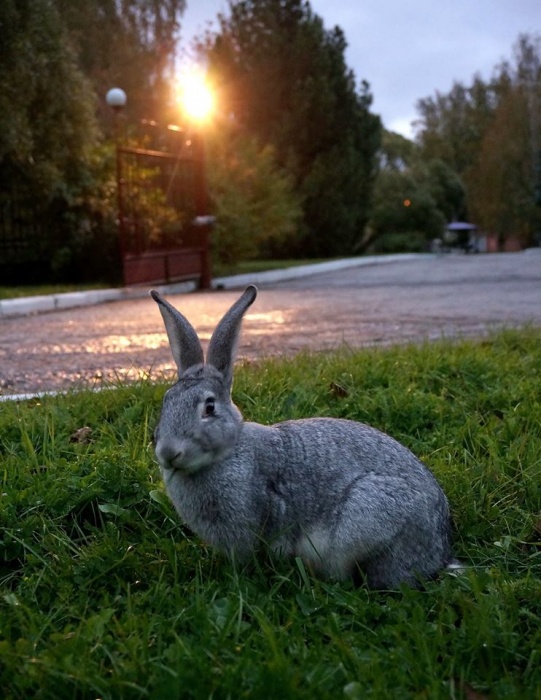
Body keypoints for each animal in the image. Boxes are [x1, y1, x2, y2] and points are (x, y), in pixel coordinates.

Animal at [151, 288, 456, 588]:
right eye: (166, 402)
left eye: (209, 407)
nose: (168, 453)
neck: (227, 453)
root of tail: (436, 554)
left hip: (367, 516)